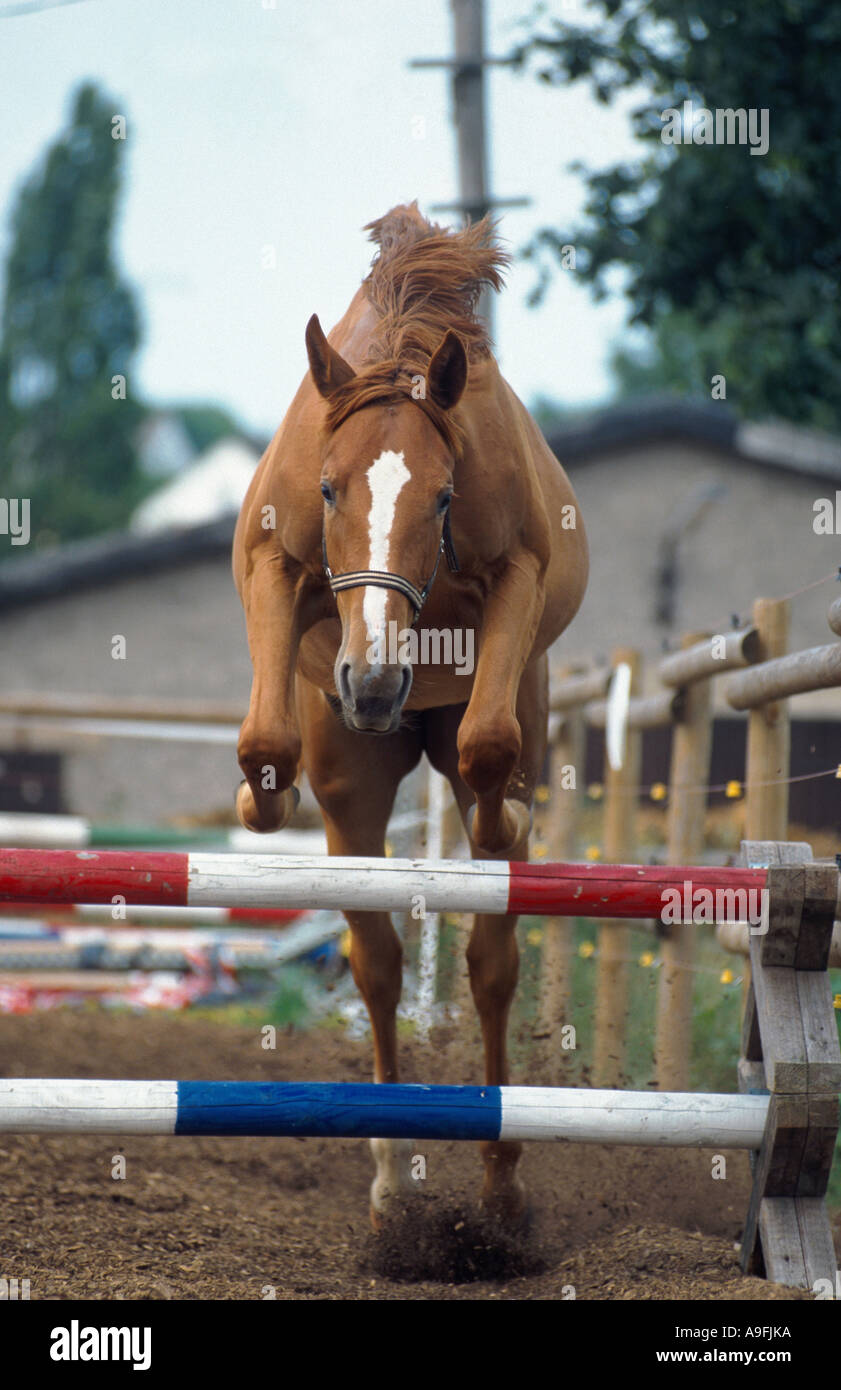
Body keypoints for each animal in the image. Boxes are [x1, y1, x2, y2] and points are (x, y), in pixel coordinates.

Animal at [229, 201, 583, 1223]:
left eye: (442, 497)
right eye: (327, 489)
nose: (379, 688)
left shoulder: (517, 577)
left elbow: (489, 747)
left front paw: (506, 809)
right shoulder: (274, 569)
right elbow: (265, 741)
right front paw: (259, 799)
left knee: (491, 961)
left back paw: (498, 1174)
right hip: (355, 788)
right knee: (377, 960)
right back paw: (389, 1168)